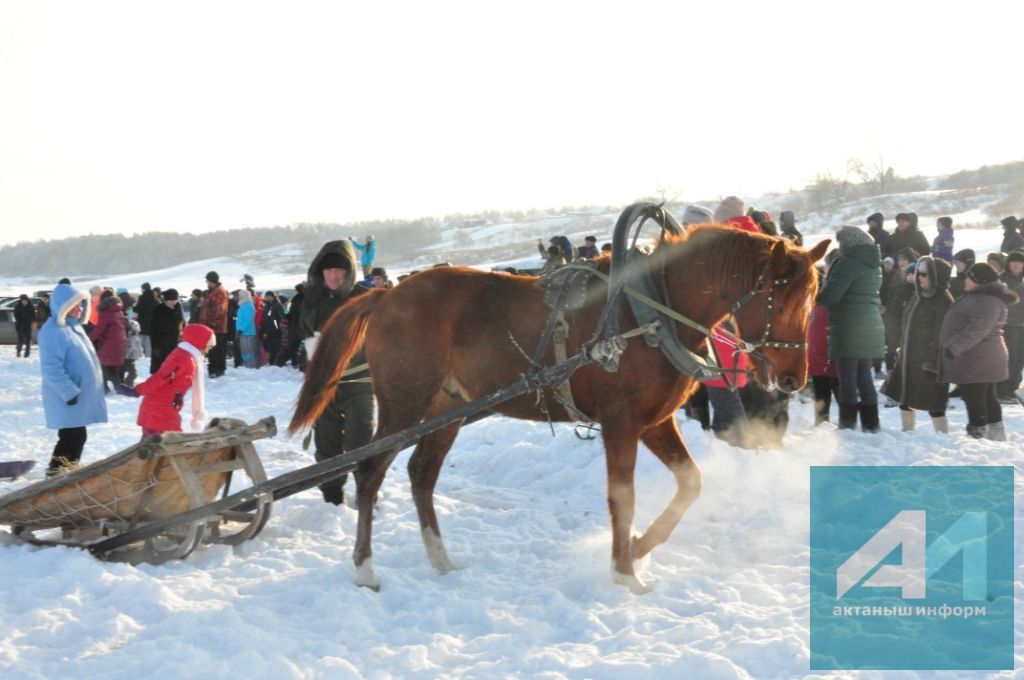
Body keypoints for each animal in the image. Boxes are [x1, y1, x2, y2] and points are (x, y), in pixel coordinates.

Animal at [290, 219, 831, 589]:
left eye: (812, 298)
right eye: (784, 300)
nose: (794, 377)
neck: (648, 312)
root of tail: (386, 296)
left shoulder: (654, 422)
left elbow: (691, 483)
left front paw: (640, 547)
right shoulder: (620, 423)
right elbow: (622, 496)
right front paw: (624, 571)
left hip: (447, 409)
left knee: (421, 473)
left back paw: (440, 558)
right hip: (404, 405)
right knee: (369, 471)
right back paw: (365, 568)